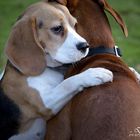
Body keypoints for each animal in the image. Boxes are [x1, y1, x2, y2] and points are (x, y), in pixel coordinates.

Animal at [0, 0, 114, 139]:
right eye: (57, 28)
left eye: (74, 25)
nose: (85, 46)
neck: (49, 69)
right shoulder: (44, 103)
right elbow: (67, 83)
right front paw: (94, 74)